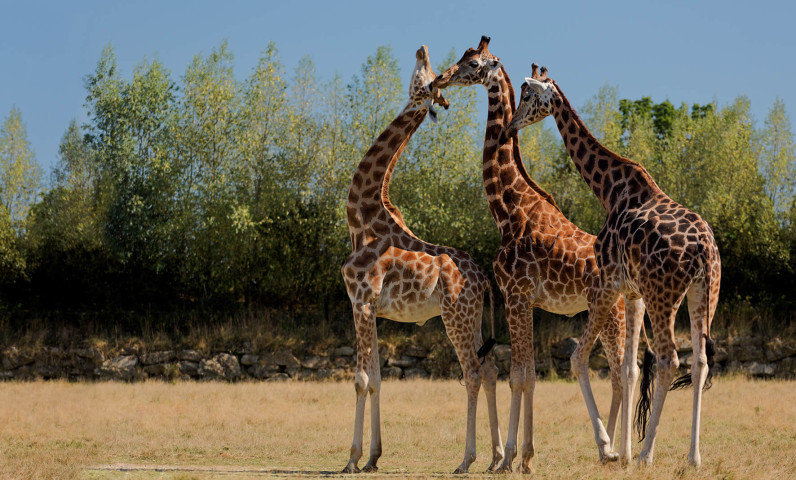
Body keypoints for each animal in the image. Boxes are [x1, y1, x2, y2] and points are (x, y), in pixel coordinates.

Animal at [342, 44, 504, 472]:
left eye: (425, 76)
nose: (422, 49)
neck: (362, 219)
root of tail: (484, 279)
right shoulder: (372, 309)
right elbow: (378, 379)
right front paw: (373, 458)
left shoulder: (360, 301)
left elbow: (360, 379)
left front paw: (351, 460)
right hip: (473, 318)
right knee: (491, 368)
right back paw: (497, 457)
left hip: (455, 317)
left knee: (473, 373)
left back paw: (467, 460)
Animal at [432, 35, 644, 470]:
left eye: (473, 63)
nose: (440, 80)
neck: (508, 210)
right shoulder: (526, 300)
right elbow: (528, 374)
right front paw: (522, 457)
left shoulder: (516, 294)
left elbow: (520, 375)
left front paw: (511, 457)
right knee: (624, 371)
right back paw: (615, 449)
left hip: (610, 314)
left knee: (618, 371)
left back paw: (611, 447)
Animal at [504, 62, 720, 464]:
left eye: (526, 94)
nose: (511, 126)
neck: (610, 190)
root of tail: (703, 249)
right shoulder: (631, 292)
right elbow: (628, 368)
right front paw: (624, 453)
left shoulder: (607, 284)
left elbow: (579, 359)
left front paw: (613, 449)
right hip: (704, 292)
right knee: (699, 362)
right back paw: (692, 457)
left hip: (664, 295)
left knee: (670, 360)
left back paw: (650, 453)